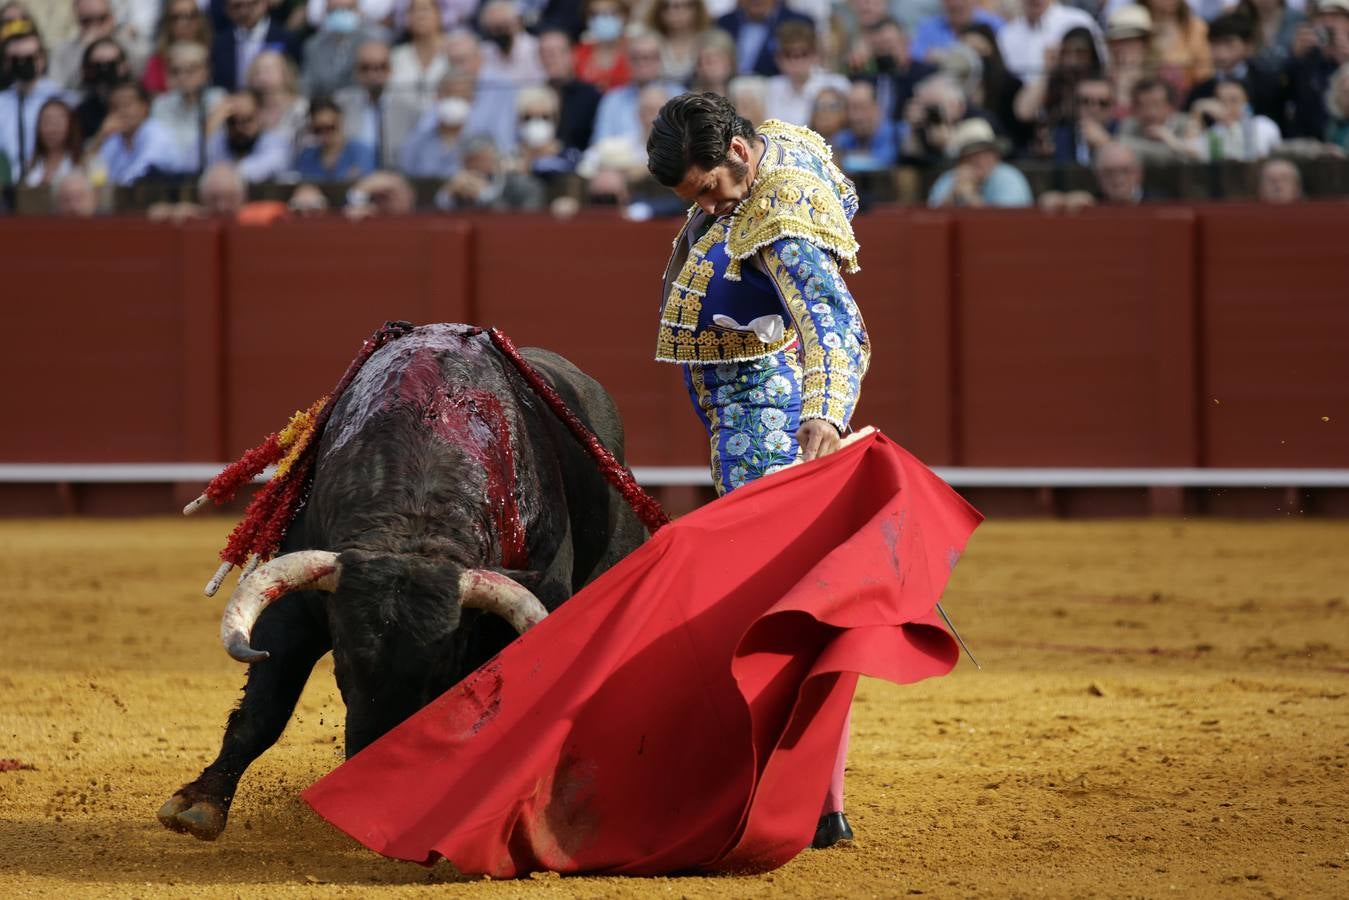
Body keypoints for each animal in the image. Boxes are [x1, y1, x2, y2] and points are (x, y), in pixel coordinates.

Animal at [160, 325, 644, 847]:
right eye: (344, 661)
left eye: (444, 666)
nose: (371, 789)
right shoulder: (297, 609)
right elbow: (263, 708)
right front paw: (199, 803)